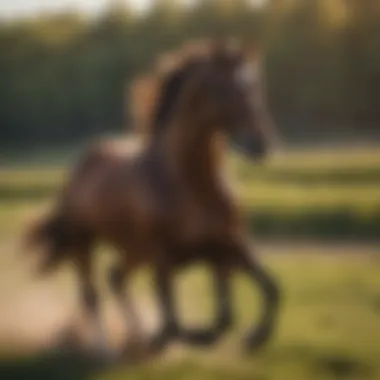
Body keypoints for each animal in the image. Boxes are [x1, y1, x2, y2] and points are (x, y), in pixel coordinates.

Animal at [23, 38, 280, 362]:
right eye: (222, 89)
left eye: (256, 86)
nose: (261, 144)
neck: (192, 186)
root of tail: (78, 168)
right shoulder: (164, 256)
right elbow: (174, 323)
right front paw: (174, 338)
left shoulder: (230, 244)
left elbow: (263, 293)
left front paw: (253, 337)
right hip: (85, 244)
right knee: (92, 295)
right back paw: (107, 348)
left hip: (133, 251)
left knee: (115, 279)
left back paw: (134, 337)